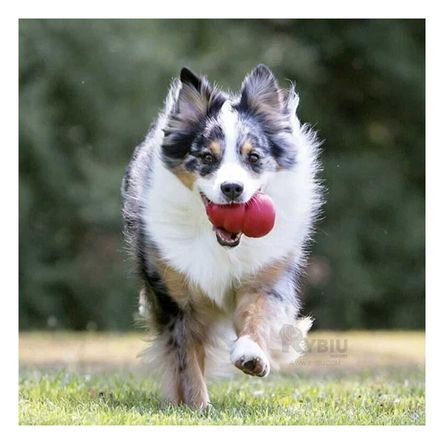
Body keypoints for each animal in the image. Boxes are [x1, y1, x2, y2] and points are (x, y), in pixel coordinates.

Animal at [121, 63, 322, 410]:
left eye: (253, 157)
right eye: (207, 157)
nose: (232, 188)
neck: (219, 241)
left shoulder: (265, 278)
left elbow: (257, 315)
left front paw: (252, 356)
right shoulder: (178, 300)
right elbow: (187, 359)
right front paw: (198, 406)